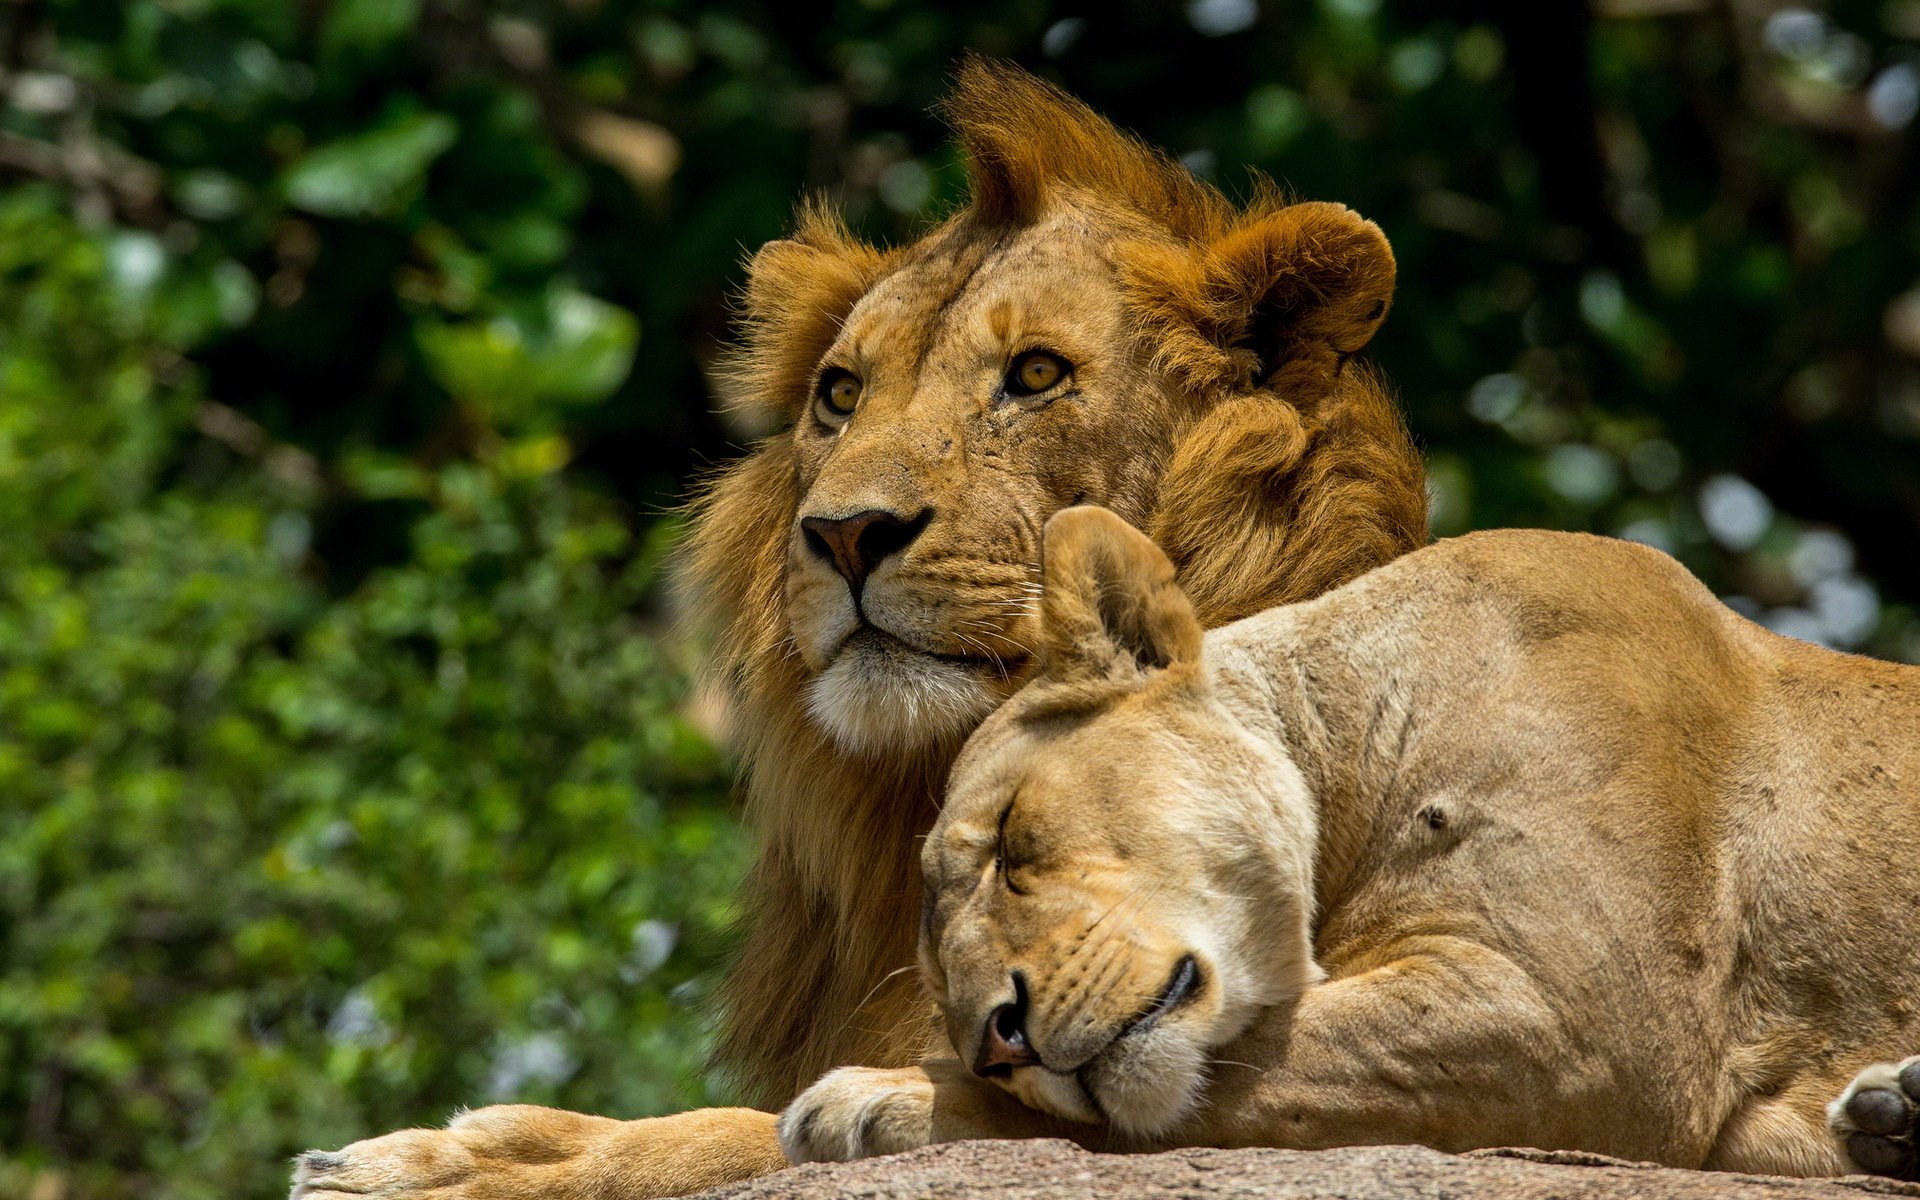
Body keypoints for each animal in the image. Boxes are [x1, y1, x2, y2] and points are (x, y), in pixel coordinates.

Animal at [778, 506, 1920, 1182]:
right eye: (939, 981)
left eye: (1014, 841)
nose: (999, 1043)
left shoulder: (1592, 1020)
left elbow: (1242, 1068)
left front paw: (877, 1097)